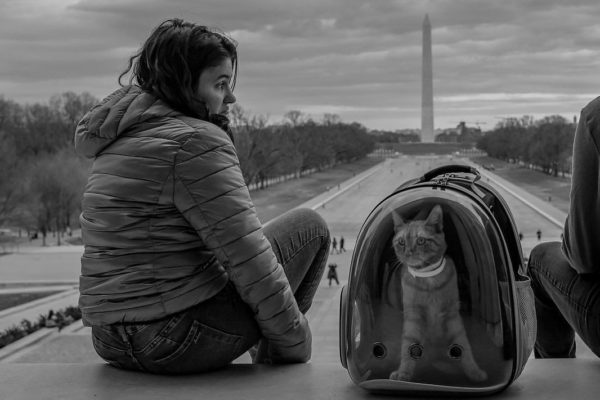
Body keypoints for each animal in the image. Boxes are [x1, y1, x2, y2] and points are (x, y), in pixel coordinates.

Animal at [386, 205, 486, 382]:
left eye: (420, 241)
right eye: (401, 242)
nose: (409, 252)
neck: (428, 279)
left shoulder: (453, 316)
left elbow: (463, 345)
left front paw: (474, 371)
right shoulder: (413, 316)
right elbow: (408, 345)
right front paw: (403, 373)